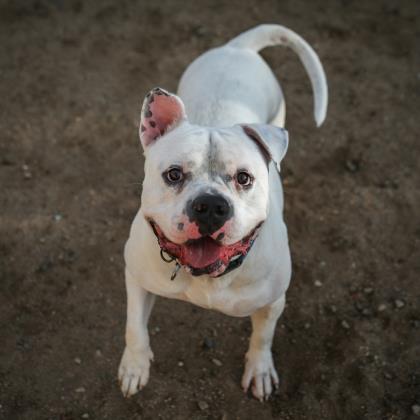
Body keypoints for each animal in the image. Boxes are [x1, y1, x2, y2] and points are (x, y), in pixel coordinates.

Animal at [118, 24, 328, 402]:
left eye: (244, 178)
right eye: (174, 174)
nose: (211, 206)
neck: (207, 277)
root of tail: (238, 47)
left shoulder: (273, 302)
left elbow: (262, 337)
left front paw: (259, 370)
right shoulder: (136, 278)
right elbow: (134, 327)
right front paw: (135, 366)